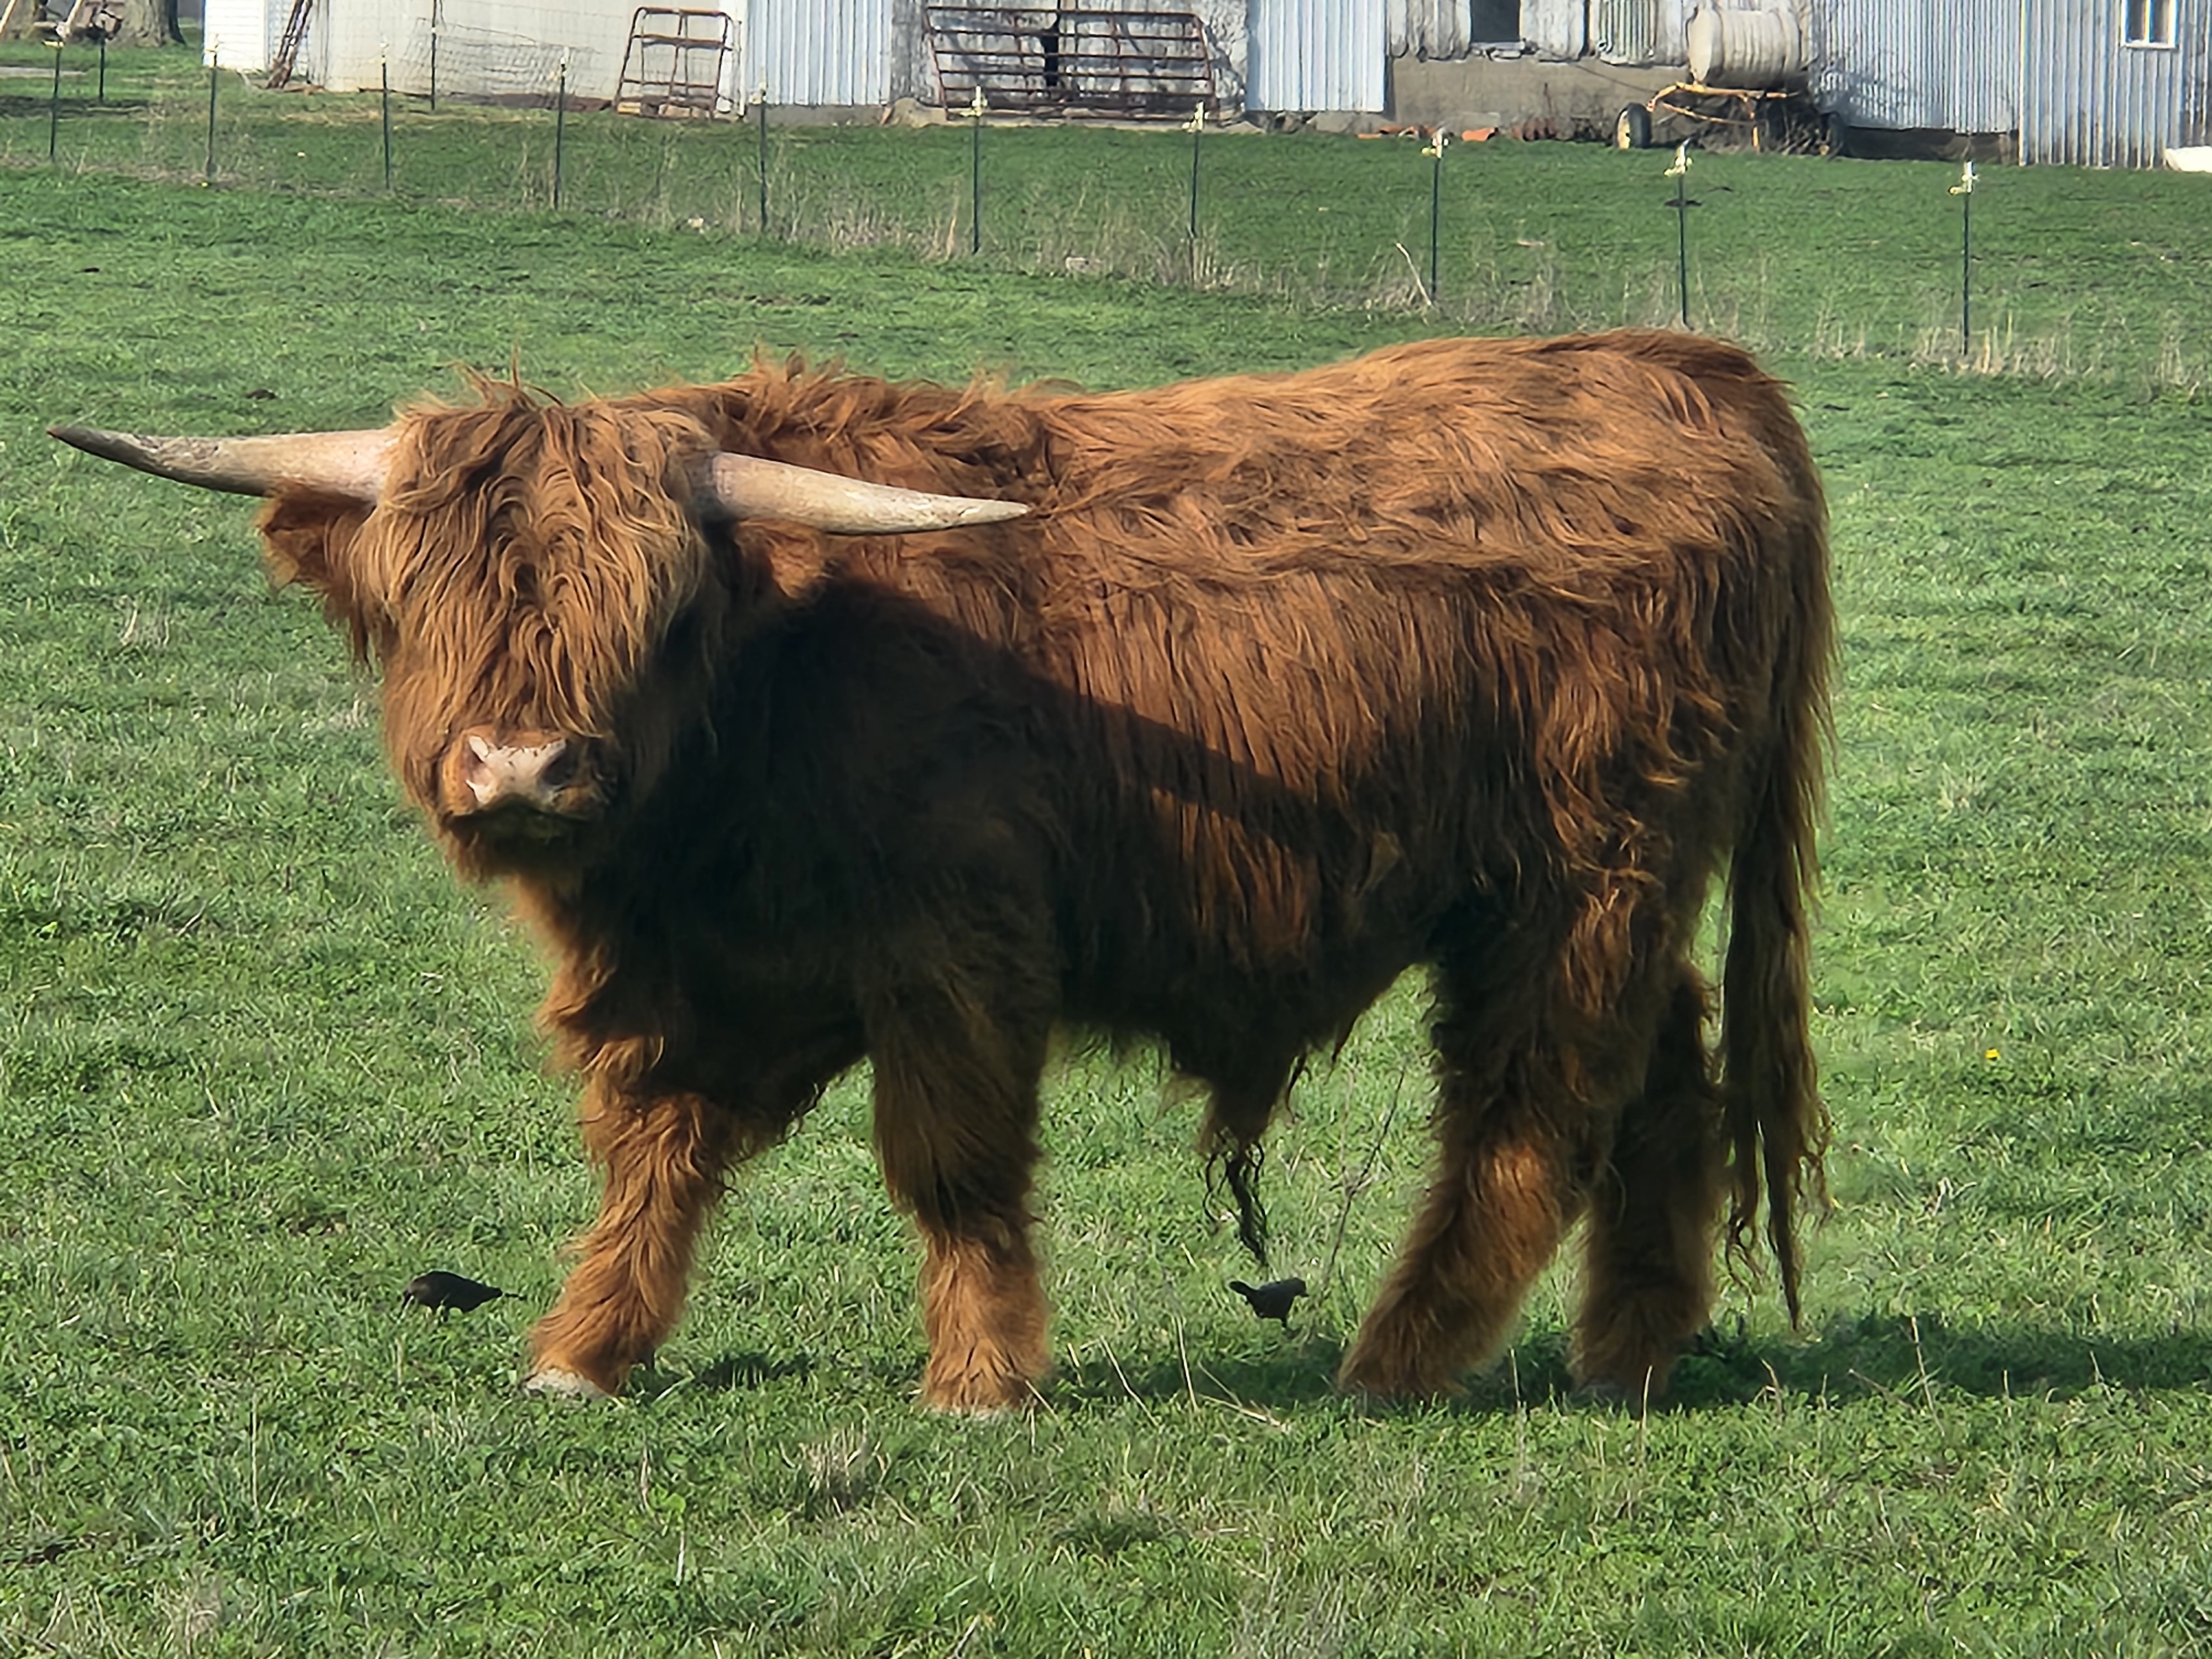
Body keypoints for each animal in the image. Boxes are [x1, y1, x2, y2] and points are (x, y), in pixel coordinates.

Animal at [52, 329, 1832, 1413]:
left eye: (654, 606)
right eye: (429, 595)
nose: (525, 769)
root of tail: (1686, 368)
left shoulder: (954, 942)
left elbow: (952, 1162)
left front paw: (979, 1378)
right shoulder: (685, 979)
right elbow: (654, 1150)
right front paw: (587, 1347)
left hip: (1571, 882)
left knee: (1530, 1111)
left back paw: (1399, 1359)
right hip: (1615, 896)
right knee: (1665, 1079)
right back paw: (1628, 1350)